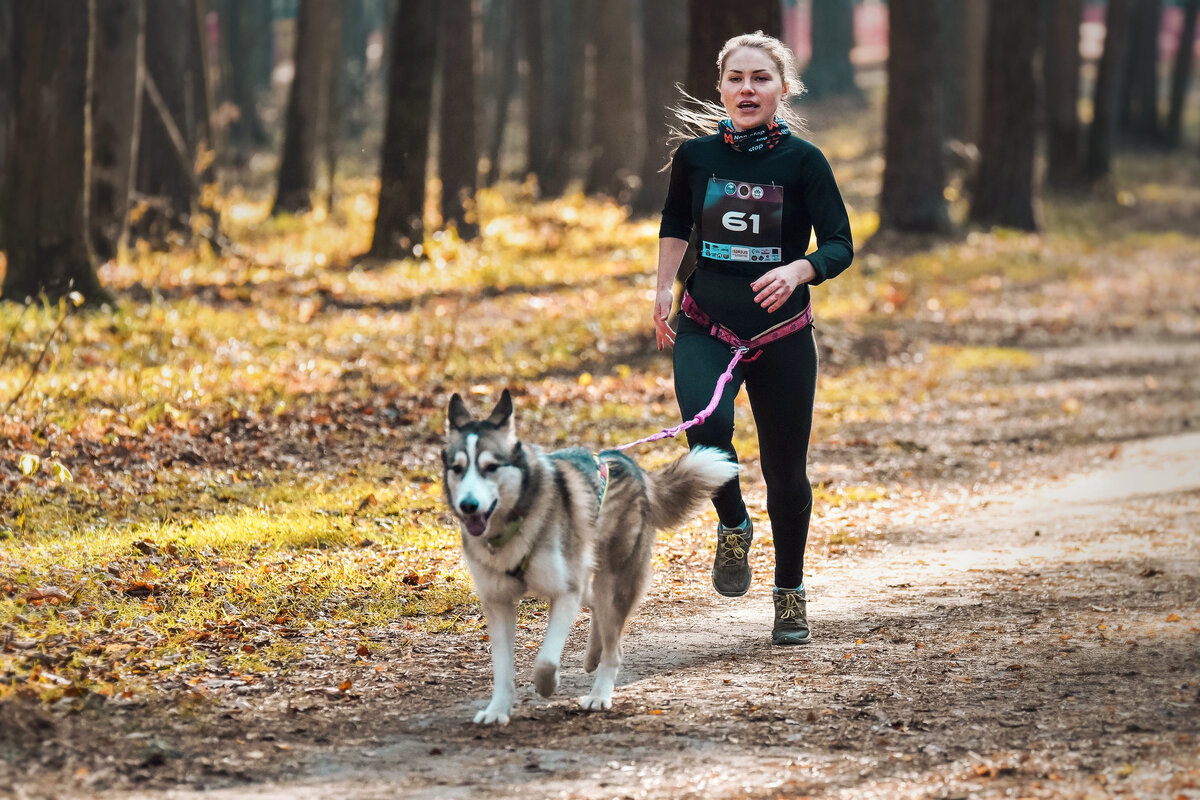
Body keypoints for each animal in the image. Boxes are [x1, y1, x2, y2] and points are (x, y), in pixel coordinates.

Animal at [446, 388, 734, 724]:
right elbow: (502, 670)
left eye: (491, 467)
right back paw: (593, 653)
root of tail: (631, 465)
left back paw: (599, 694)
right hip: (589, 576)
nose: (468, 505)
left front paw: (547, 685)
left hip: (613, 580)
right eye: (457, 468)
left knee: (613, 643)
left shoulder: (565, 593)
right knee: (597, 606)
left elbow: (545, 661)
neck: (514, 522)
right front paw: (497, 710)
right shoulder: (498, 601)